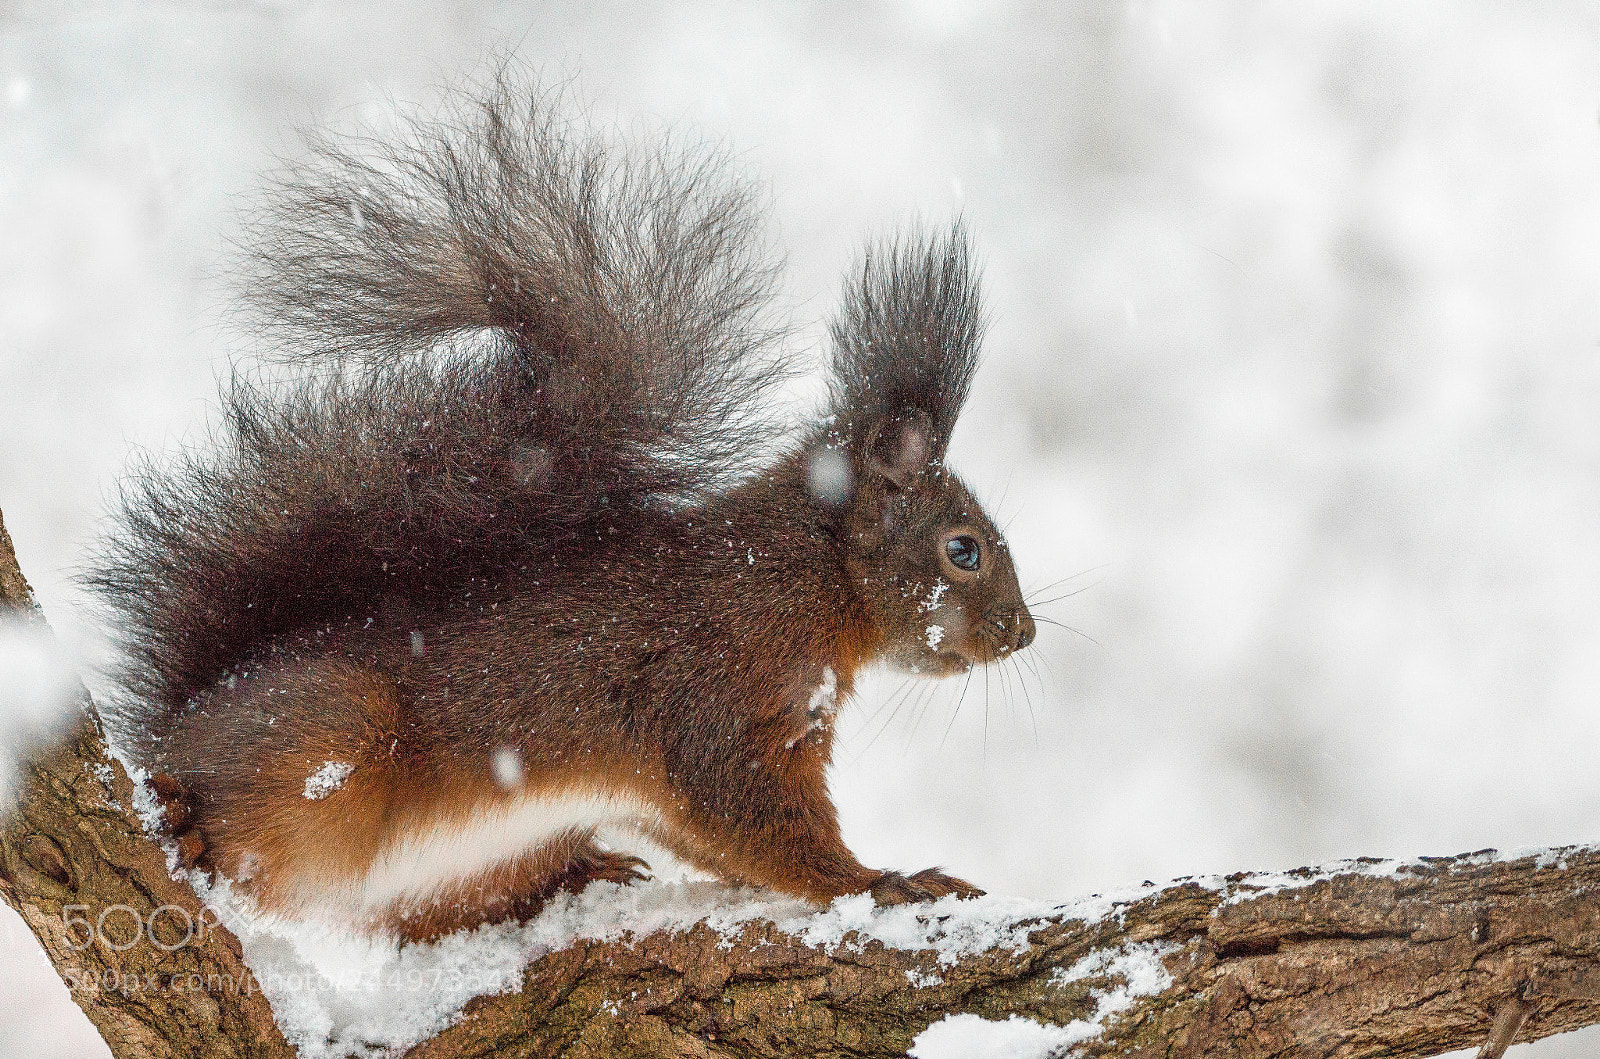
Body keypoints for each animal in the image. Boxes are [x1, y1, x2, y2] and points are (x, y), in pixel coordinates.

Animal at [89, 78, 1037, 943]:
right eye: (964, 550)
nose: (1024, 634)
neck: (807, 572)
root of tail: (175, 729)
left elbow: (717, 840)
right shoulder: (719, 693)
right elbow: (755, 818)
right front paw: (885, 880)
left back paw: (583, 871)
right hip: (323, 737)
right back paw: (188, 826)